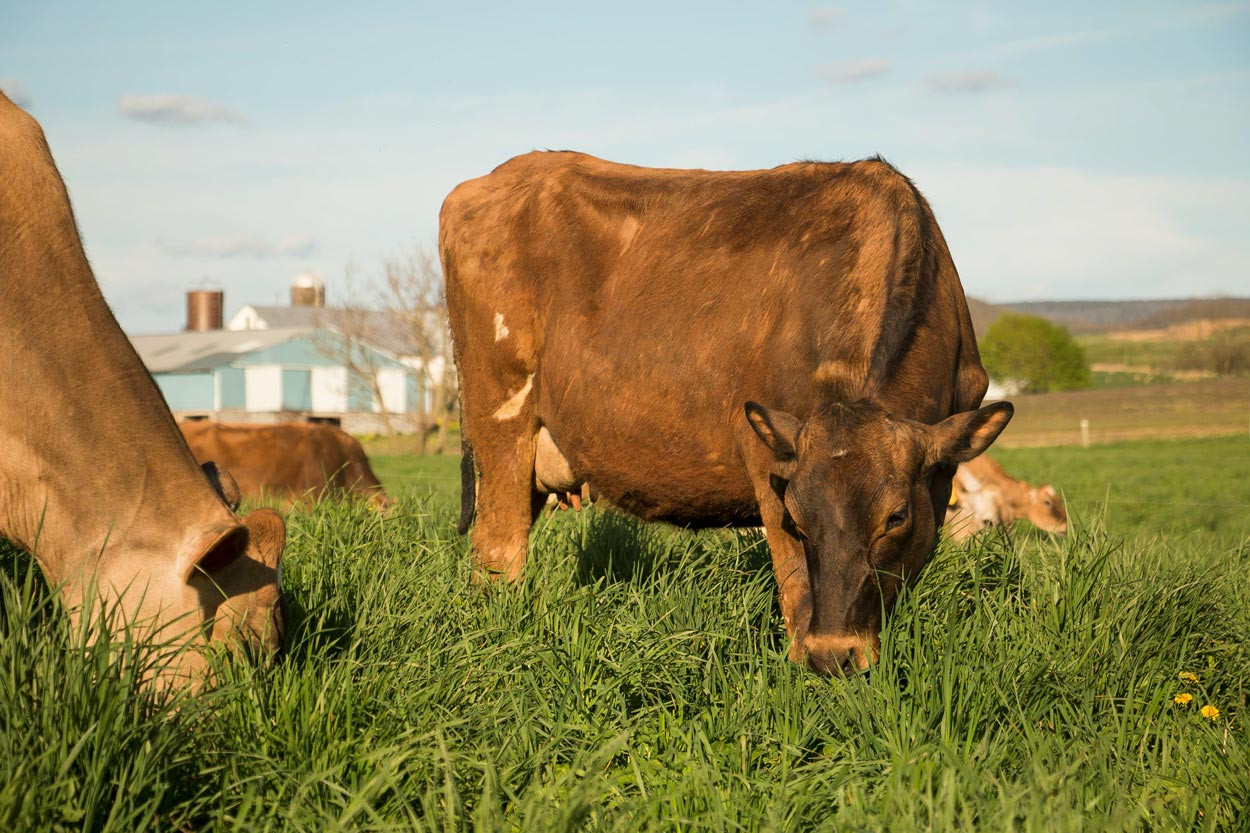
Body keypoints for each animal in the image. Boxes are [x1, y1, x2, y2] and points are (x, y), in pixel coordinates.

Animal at [440, 151, 1012, 675]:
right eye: (797, 518)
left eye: (895, 517)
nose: (834, 655)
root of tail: (497, 177)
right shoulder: (768, 457)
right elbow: (796, 588)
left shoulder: (941, 476)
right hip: (501, 421)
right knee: (497, 554)